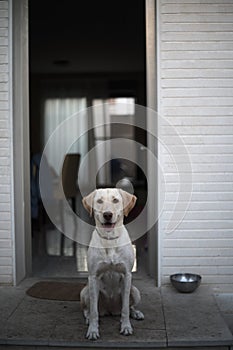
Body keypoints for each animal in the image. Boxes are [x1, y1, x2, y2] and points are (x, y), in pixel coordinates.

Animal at [80, 189, 144, 340]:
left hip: (135, 291)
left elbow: (125, 308)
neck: (109, 239)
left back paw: (136, 313)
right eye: (99, 201)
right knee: (88, 309)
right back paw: (88, 318)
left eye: (115, 200)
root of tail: (110, 310)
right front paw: (93, 330)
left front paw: (126, 326)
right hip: (85, 291)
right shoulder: (93, 276)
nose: (107, 215)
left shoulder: (127, 275)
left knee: (130, 307)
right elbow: (94, 311)